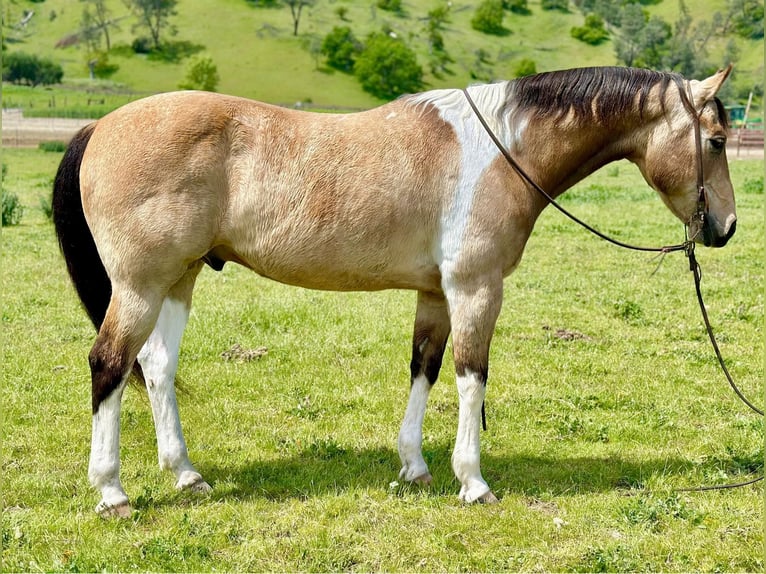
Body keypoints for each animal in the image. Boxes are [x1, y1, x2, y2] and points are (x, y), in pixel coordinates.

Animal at [52, 65, 736, 520]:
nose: (725, 227)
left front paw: (415, 466)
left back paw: (187, 475)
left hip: (180, 278)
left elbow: (424, 369)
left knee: (156, 367)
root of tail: (100, 125)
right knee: (109, 364)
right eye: (717, 140)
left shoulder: (436, 294)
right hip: (140, 286)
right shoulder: (475, 289)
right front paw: (473, 481)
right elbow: (470, 377)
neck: (501, 150)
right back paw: (111, 491)